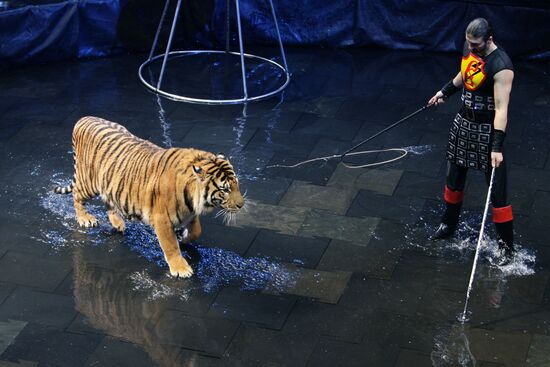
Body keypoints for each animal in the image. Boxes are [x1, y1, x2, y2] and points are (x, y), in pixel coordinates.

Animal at [56, 116, 246, 278]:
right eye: (225, 189)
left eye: (236, 185)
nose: (241, 205)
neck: (194, 197)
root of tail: (84, 119)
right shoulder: (162, 218)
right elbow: (170, 245)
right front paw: (181, 268)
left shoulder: (191, 212)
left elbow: (196, 231)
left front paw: (184, 238)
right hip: (89, 183)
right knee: (77, 196)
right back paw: (85, 219)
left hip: (110, 184)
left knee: (108, 202)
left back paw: (118, 223)